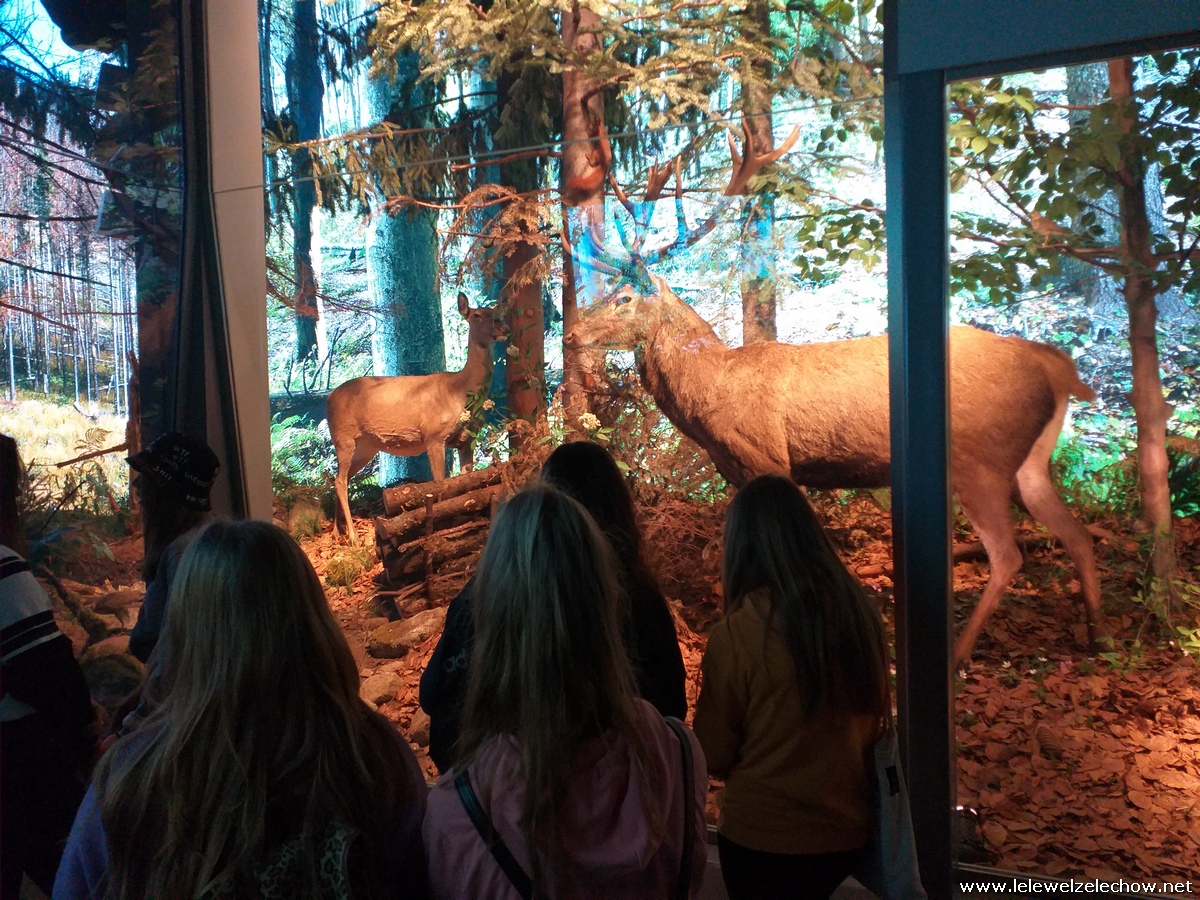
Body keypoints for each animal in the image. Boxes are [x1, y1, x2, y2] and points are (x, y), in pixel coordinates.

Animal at [326, 292, 507, 544]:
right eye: (476, 315)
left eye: (496, 312)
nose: (503, 327)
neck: (460, 391)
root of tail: (327, 400)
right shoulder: (434, 436)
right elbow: (441, 484)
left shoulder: (466, 440)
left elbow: (466, 481)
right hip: (343, 437)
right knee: (340, 481)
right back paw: (353, 536)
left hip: (365, 447)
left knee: (340, 478)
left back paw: (336, 531)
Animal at [562, 119, 1100, 663]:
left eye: (624, 298)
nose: (570, 336)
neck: (714, 391)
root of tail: (1056, 367)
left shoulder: (769, 455)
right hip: (1028, 461)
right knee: (1077, 534)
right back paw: (1098, 635)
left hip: (980, 459)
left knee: (1009, 554)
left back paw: (961, 652)